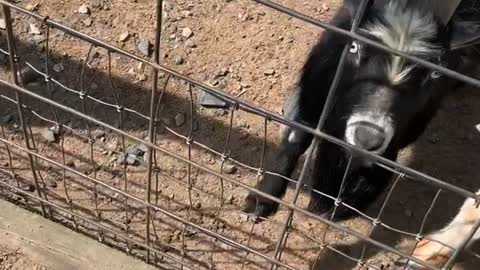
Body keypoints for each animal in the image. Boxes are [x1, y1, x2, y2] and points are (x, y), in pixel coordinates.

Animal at [244, 0, 480, 221]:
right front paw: (261, 199)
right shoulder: (316, 88)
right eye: (354, 47)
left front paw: (345, 203)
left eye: (433, 74)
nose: (367, 137)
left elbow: (385, 160)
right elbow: (298, 135)